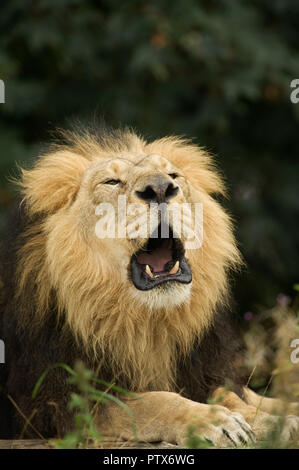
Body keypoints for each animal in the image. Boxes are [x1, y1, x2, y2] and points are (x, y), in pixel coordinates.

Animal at [0, 124, 298, 444]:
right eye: (111, 181)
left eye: (174, 176)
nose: (159, 188)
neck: (149, 322)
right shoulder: (54, 404)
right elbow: (153, 401)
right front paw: (214, 421)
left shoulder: (208, 369)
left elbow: (237, 395)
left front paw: (274, 420)